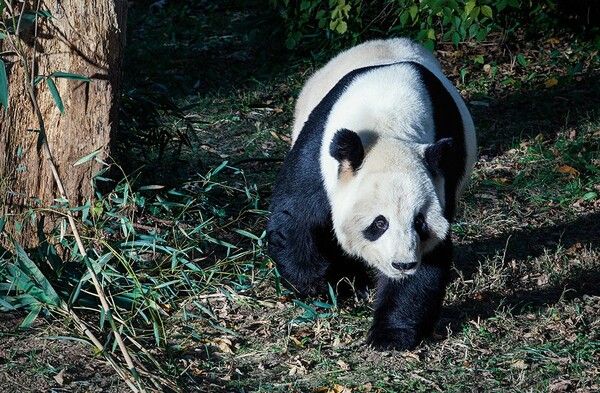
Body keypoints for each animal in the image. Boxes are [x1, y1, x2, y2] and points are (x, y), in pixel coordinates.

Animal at [268, 37, 478, 350]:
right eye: (380, 223)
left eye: (419, 222)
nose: (402, 264)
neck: (390, 129)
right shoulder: (321, 153)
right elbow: (296, 217)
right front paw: (319, 287)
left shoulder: (441, 180)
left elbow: (430, 258)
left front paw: (390, 334)